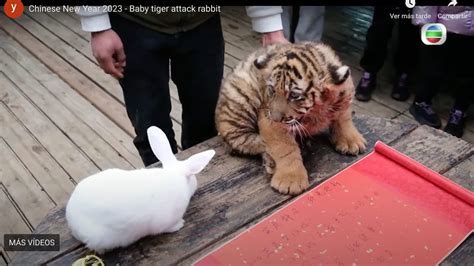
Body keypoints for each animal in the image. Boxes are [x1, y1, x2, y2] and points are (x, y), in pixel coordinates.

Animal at [65, 126, 216, 254]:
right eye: (192, 178)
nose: (195, 185)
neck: (175, 175)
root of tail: (70, 216)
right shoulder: (165, 222)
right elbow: (169, 227)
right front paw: (180, 224)